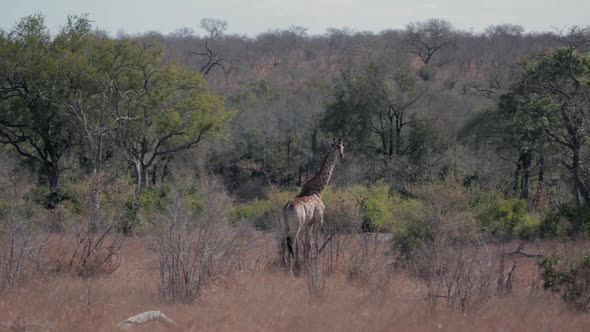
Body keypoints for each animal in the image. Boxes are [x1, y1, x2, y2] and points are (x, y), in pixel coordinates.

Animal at [280, 137, 344, 274]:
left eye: (343, 146)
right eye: (336, 148)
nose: (342, 156)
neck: (317, 191)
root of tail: (286, 208)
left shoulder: (308, 224)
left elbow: (307, 245)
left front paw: (306, 266)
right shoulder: (319, 220)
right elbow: (315, 243)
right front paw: (315, 267)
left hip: (284, 225)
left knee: (283, 243)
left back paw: (281, 267)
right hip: (296, 225)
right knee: (290, 242)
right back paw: (290, 271)